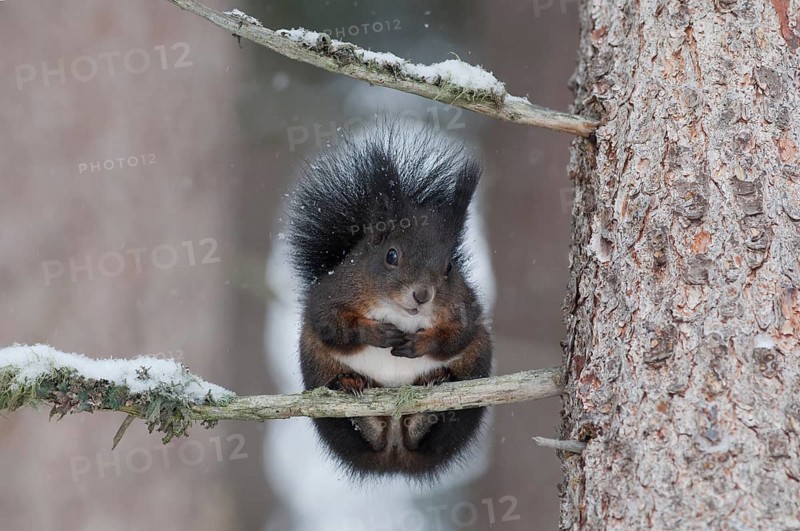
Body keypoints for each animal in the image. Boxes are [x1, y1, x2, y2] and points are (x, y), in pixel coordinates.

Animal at [287, 120, 493, 480]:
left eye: (449, 267)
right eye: (391, 255)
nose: (422, 295)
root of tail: (394, 450)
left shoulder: (467, 309)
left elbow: (456, 336)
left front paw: (420, 343)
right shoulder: (330, 295)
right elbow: (331, 324)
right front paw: (375, 332)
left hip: (477, 365)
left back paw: (435, 386)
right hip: (314, 365)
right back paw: (349, 386)